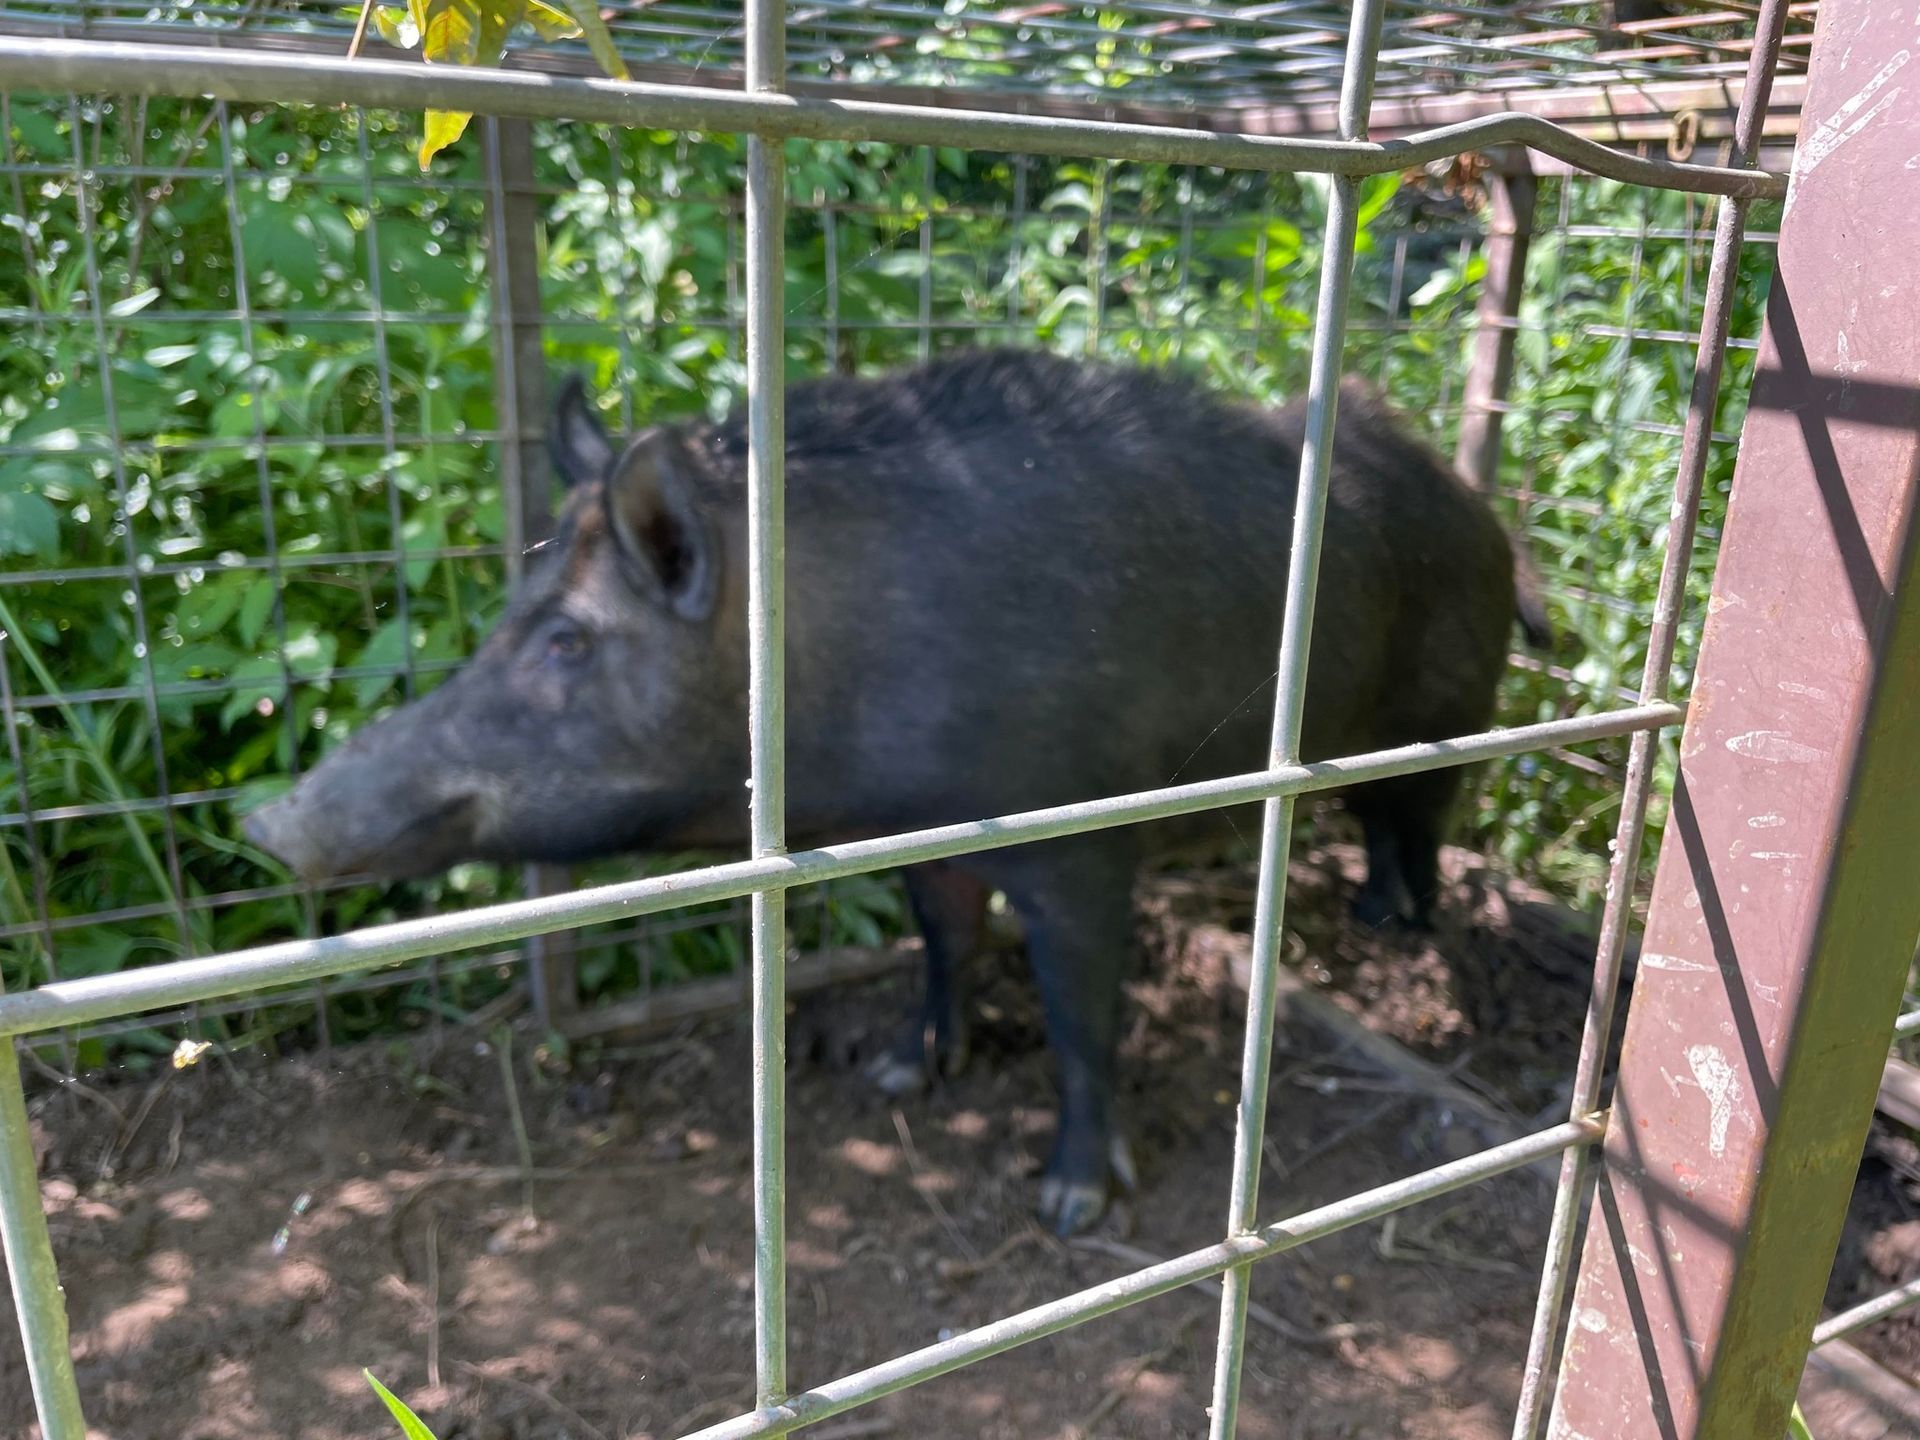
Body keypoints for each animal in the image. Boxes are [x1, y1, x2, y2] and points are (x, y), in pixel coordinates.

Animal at [245, 347, 1552, 1235]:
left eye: (569, 641)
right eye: (512, 613)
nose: (269, 821)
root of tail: (1494, 519)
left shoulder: (1082, 833)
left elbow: (1081, 1013)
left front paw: (1072, 1208)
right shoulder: (921, 832)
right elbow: (944, 940)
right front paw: (899, 1074)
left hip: (1454, 702)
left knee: (1419, 819)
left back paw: (1399, 929)